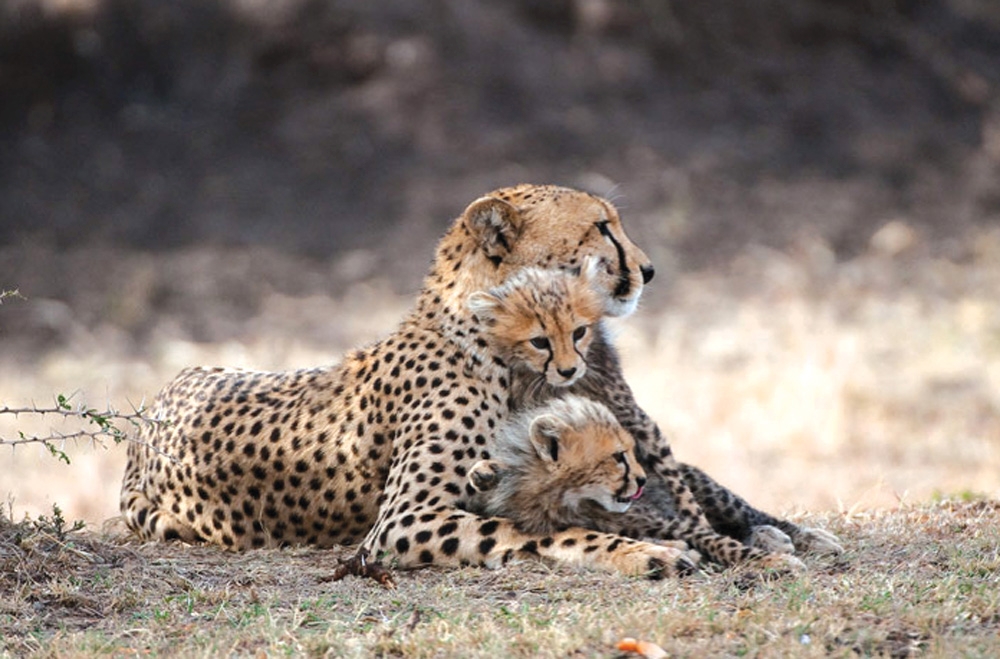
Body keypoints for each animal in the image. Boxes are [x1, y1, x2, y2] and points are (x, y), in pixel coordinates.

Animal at [120, 183, 700, 578]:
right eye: (602, 226)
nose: (649, 271)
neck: (496, 345)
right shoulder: (402, 520)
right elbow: (540, 530)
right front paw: (650, 553)